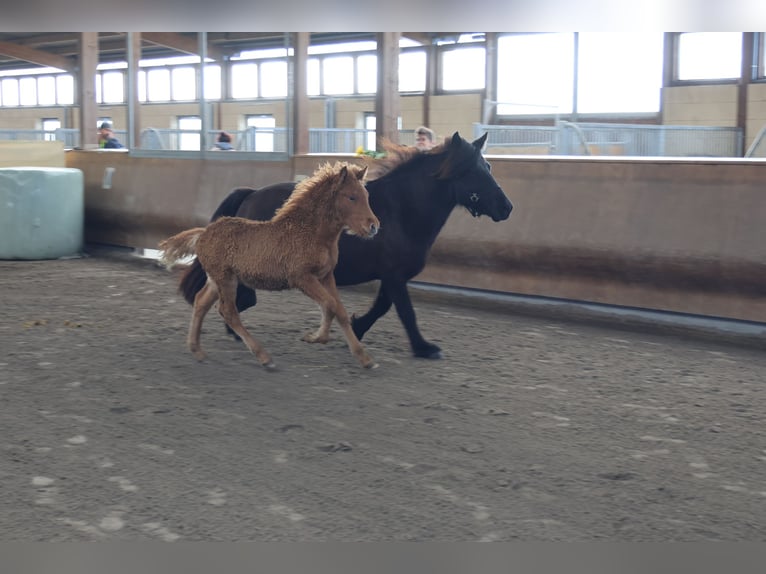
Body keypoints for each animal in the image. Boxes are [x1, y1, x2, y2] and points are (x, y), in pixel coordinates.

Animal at [181, 134, 512, 360]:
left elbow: (382, 307)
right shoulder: (394, 275)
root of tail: (249, 194)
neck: (402, 209)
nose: (506, 207)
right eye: (472, 172)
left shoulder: (393, 276)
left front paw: (357, 327)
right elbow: (405, 312)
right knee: (239, 298)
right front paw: (424, 348)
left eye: (488, 166)